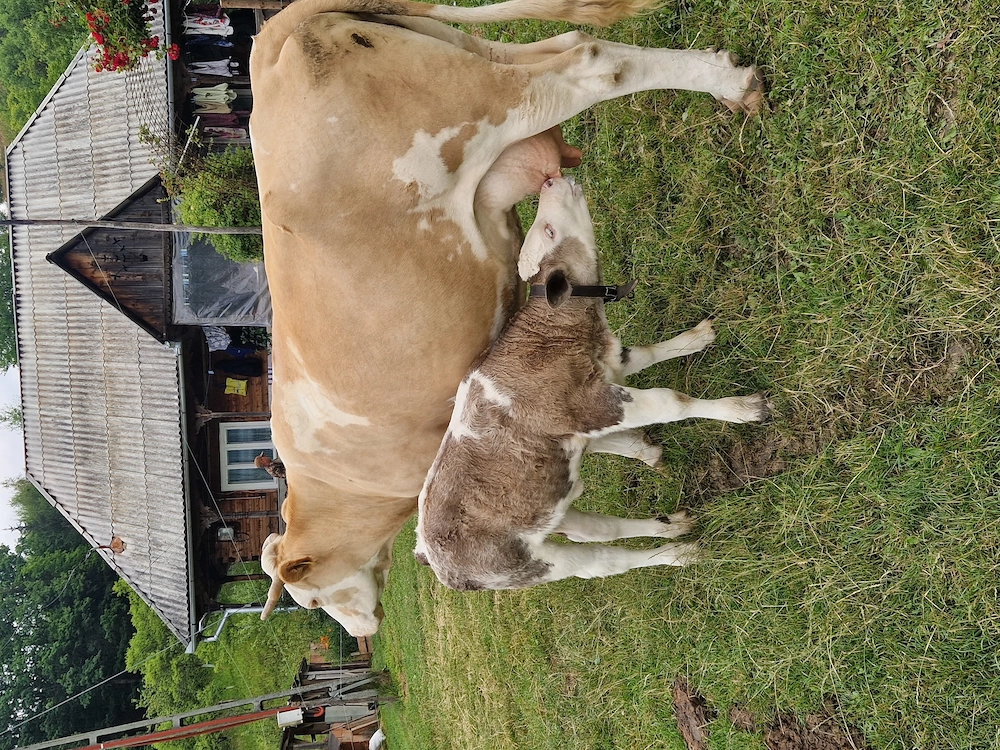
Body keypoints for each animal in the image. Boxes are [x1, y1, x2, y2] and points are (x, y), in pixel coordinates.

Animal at [413, 176, 770, 591]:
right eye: (550, 231)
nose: (550, 180)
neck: (562, 334)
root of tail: (427, 553)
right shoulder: (593, 404)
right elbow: (672, 401)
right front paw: (744, 409)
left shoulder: (610, 363)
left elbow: (650, 352)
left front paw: (697, 337)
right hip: (525, 565)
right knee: (602, 561)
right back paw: (678, 555)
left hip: (552, 513)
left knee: (599, 530)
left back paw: (670, 528)